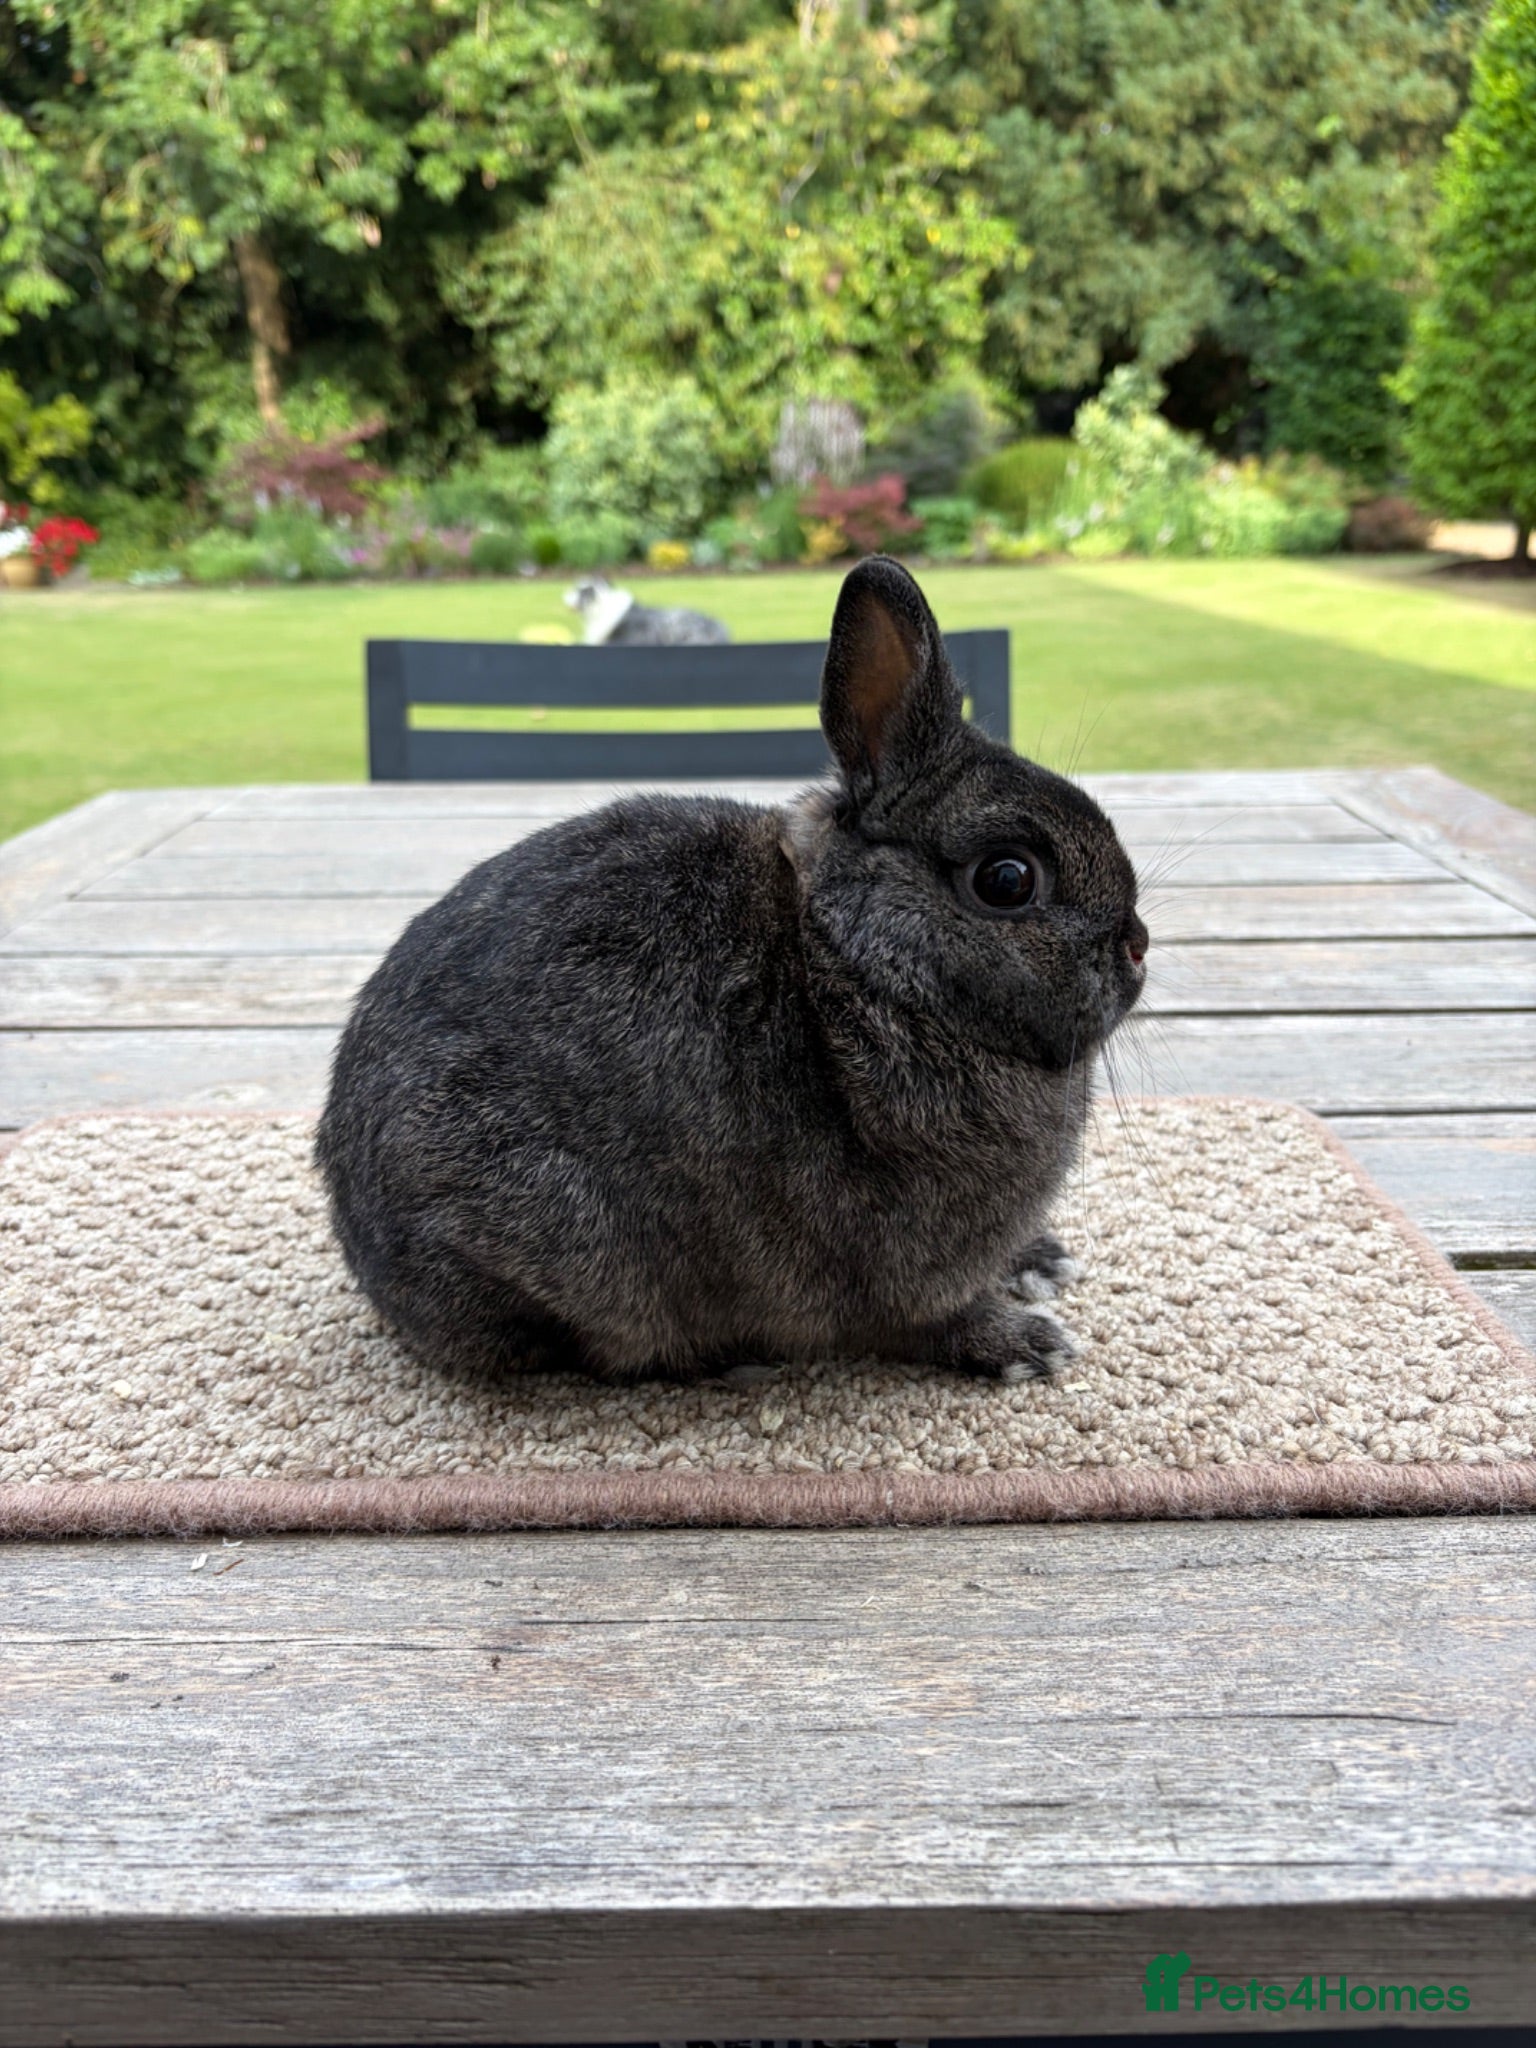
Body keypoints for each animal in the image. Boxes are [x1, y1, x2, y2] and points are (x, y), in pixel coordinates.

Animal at [315, 555, 1148, 1388]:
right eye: (1007, 880)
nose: (1138, 948)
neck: (856, 969)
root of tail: (365, 1251)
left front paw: (1041, 1260)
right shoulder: (905, 1269)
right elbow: (933, 1321)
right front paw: (1025, 1343)